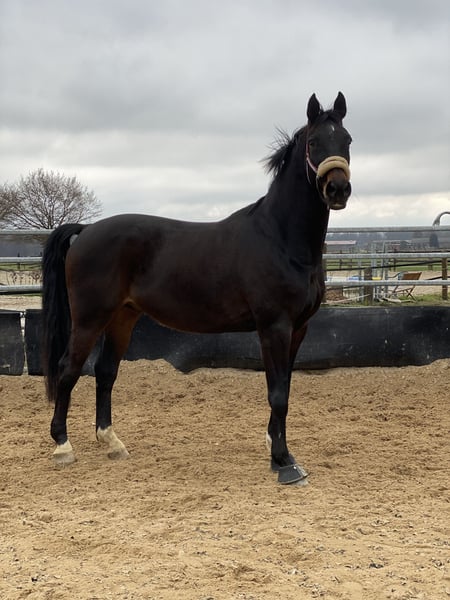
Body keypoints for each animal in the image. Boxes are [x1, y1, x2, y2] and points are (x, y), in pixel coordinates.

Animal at [42, 92, 352, 484]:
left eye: (348, 140)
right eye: (313, 142)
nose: (338, 189)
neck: (280, 239)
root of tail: (86, 230)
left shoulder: (299, 328)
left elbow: (286, 386)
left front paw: (275, 445)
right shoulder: (274, 327)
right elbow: (277, 392)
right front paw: (284, 462)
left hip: (122, 318)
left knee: (105, 372)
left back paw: (112, 442)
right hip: (89, 319)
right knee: (68, 370)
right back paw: (62, 447)